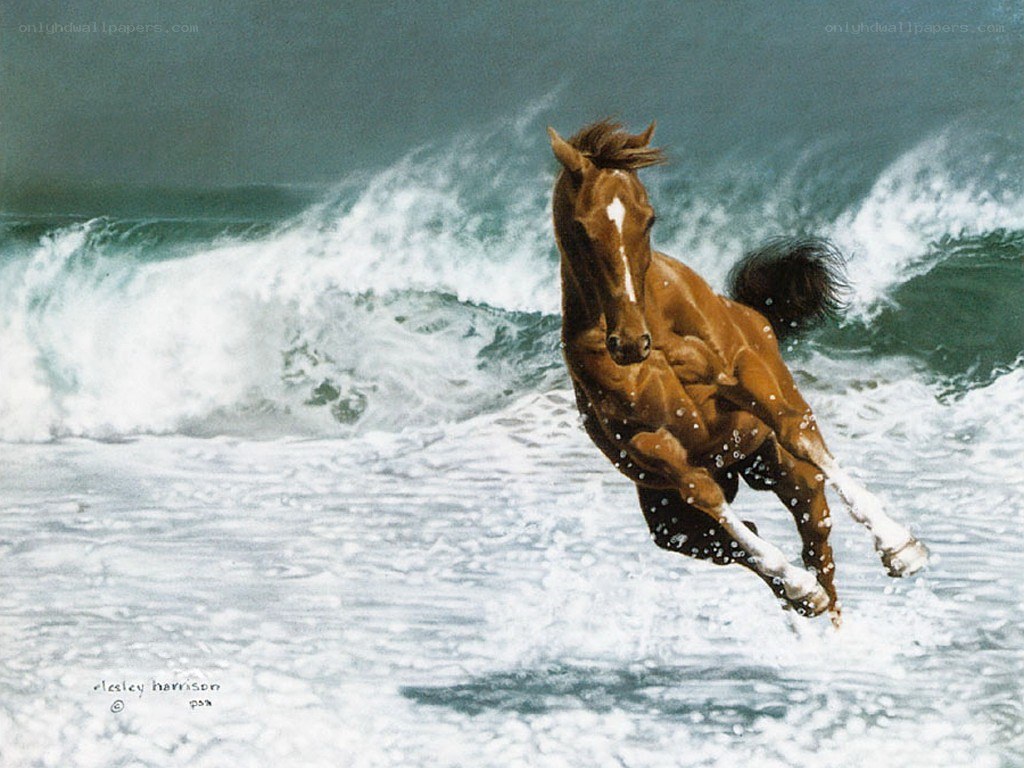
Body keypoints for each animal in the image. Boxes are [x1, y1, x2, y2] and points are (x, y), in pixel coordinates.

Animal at [547, 120, 929, 625]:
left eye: (648, 218)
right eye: (581, 227)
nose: (630, 344)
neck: (655, 323)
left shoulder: (742, 374)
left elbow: (793, 430)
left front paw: (900, 547)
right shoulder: (650, 443)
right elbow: (706, 497)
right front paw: (799, 587)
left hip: (779, 467)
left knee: (815, 531)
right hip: (671, 519)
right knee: (737, 539)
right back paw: (803, 596)